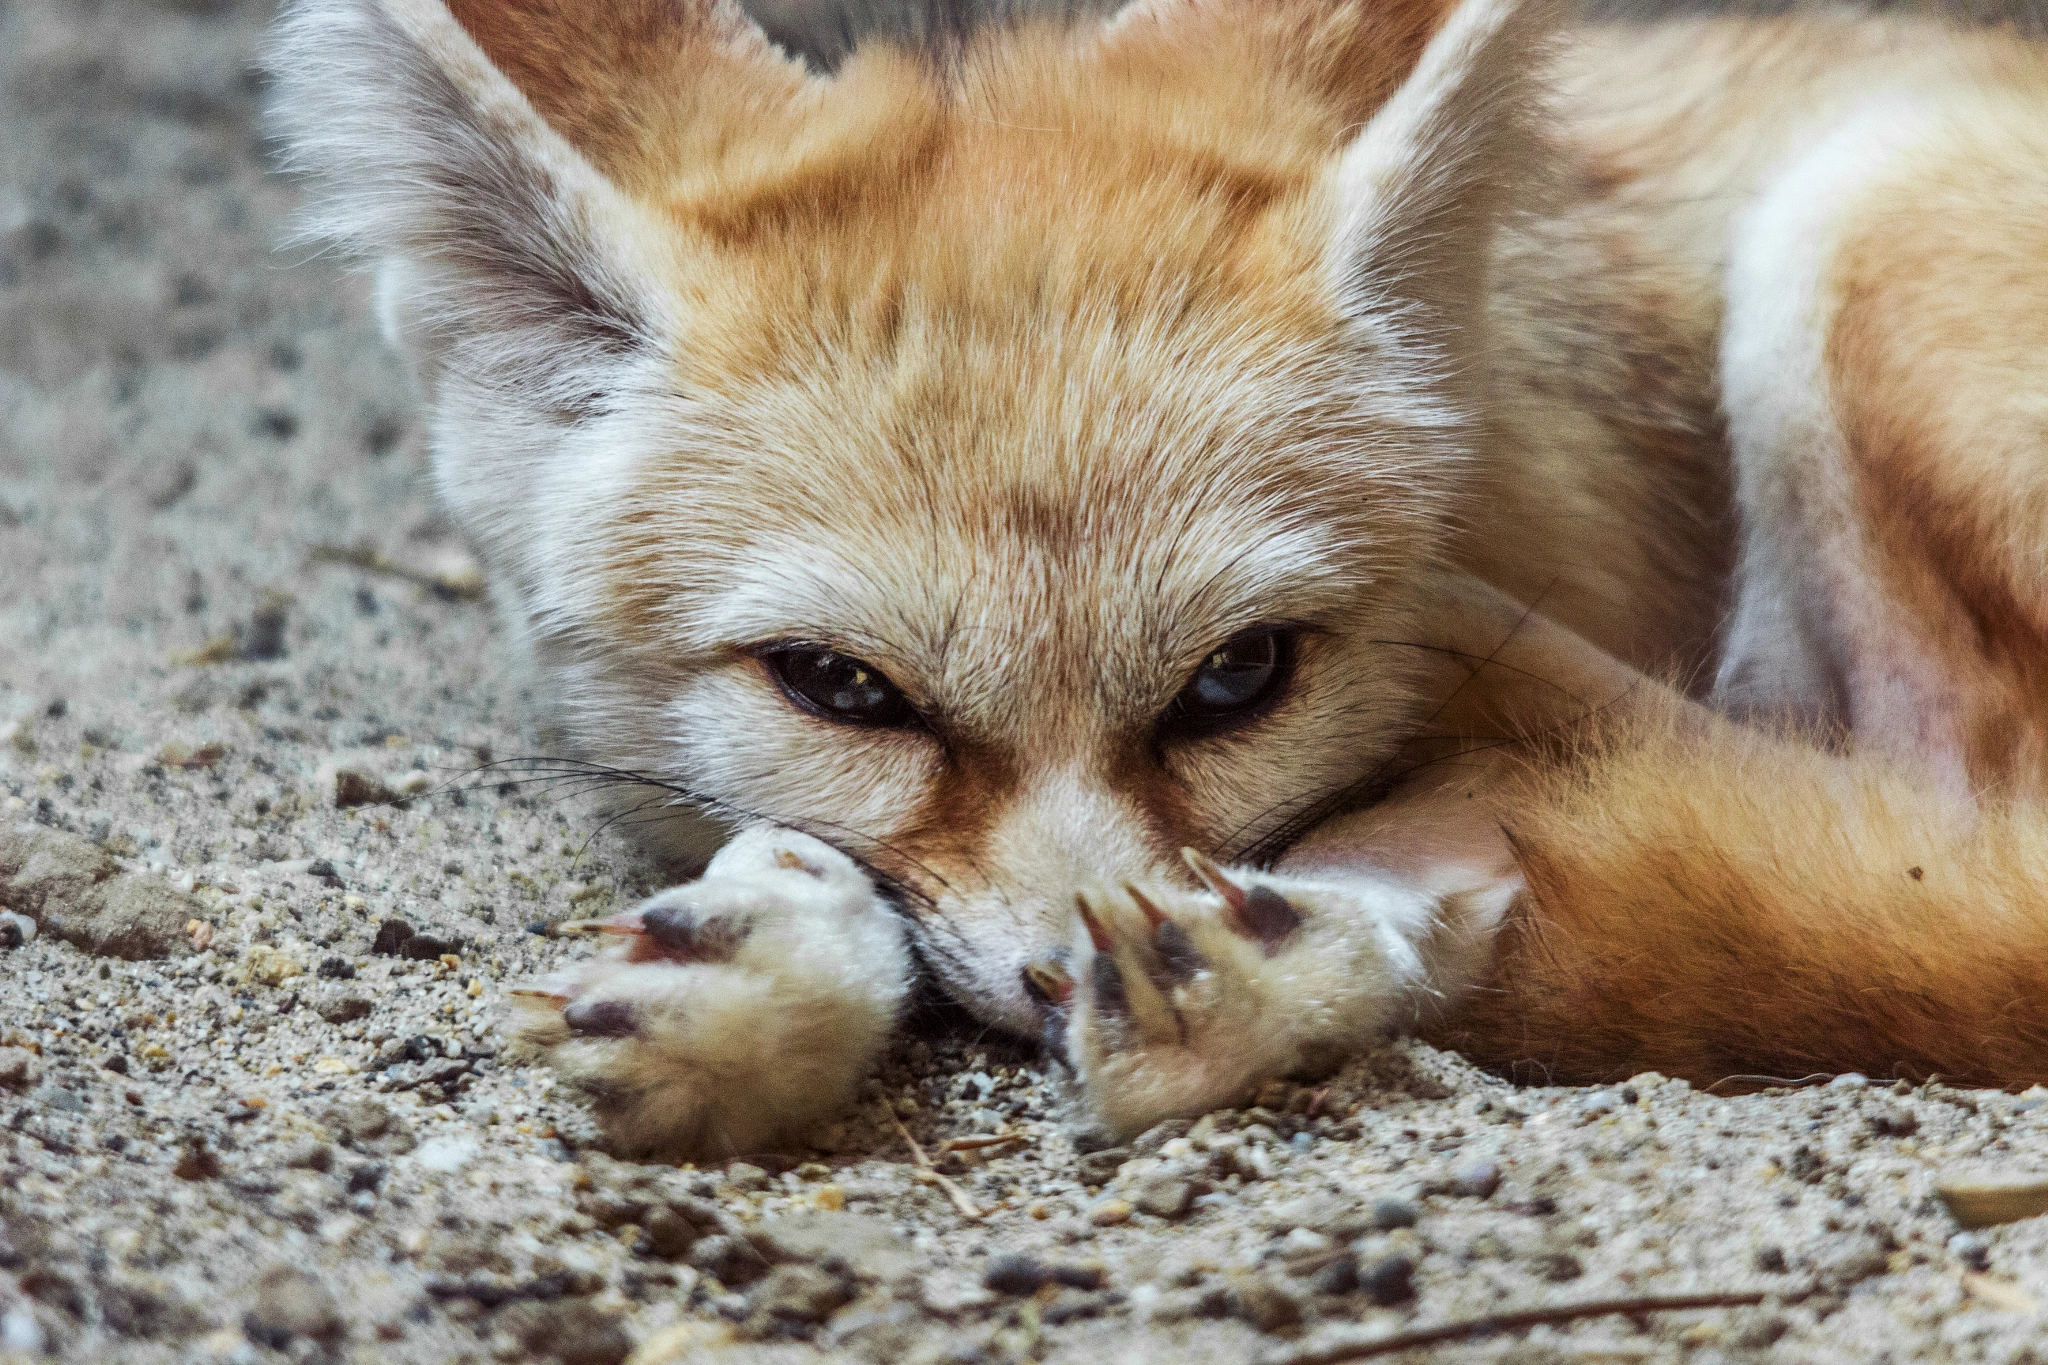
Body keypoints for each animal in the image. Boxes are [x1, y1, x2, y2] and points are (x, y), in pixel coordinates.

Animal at [268, 0, 2048, 1158]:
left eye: (1238, 677)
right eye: (841, 688)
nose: (1065, 975)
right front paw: (777, 972)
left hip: (1840, 236)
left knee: (1937, 819)